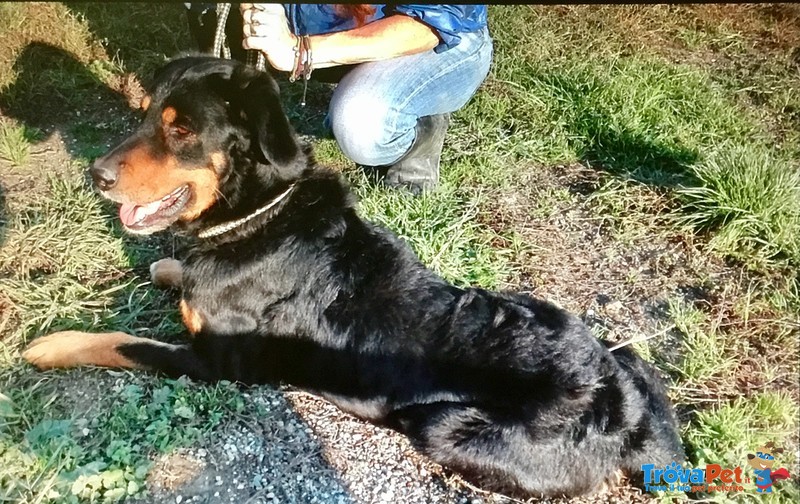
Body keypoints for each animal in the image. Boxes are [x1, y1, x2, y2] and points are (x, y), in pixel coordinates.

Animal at [26, 57, 688, 498]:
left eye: (181, 130)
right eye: (143, 118)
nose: (96, 174)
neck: (259, 213)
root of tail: (626, 409)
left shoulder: (216, 364)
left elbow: (122, 342)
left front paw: (53, 345)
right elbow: (173, 272)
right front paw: (170, 268)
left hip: (445, 428)